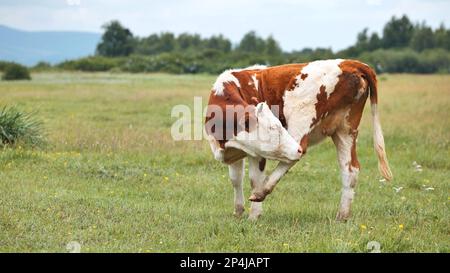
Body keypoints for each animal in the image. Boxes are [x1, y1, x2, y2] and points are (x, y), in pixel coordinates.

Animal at [204, 58, 390, 220]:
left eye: (278, 126)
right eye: (272, 128)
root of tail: (351, 63)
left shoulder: (257, 154)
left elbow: (254, 180)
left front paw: (253, 217)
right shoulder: (235, 152)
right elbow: (236, 180)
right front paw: (238, 212)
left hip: (300, 119)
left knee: (296, 153)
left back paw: (262, 191)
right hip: (345, 130)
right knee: (350, 169)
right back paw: (342, 216)